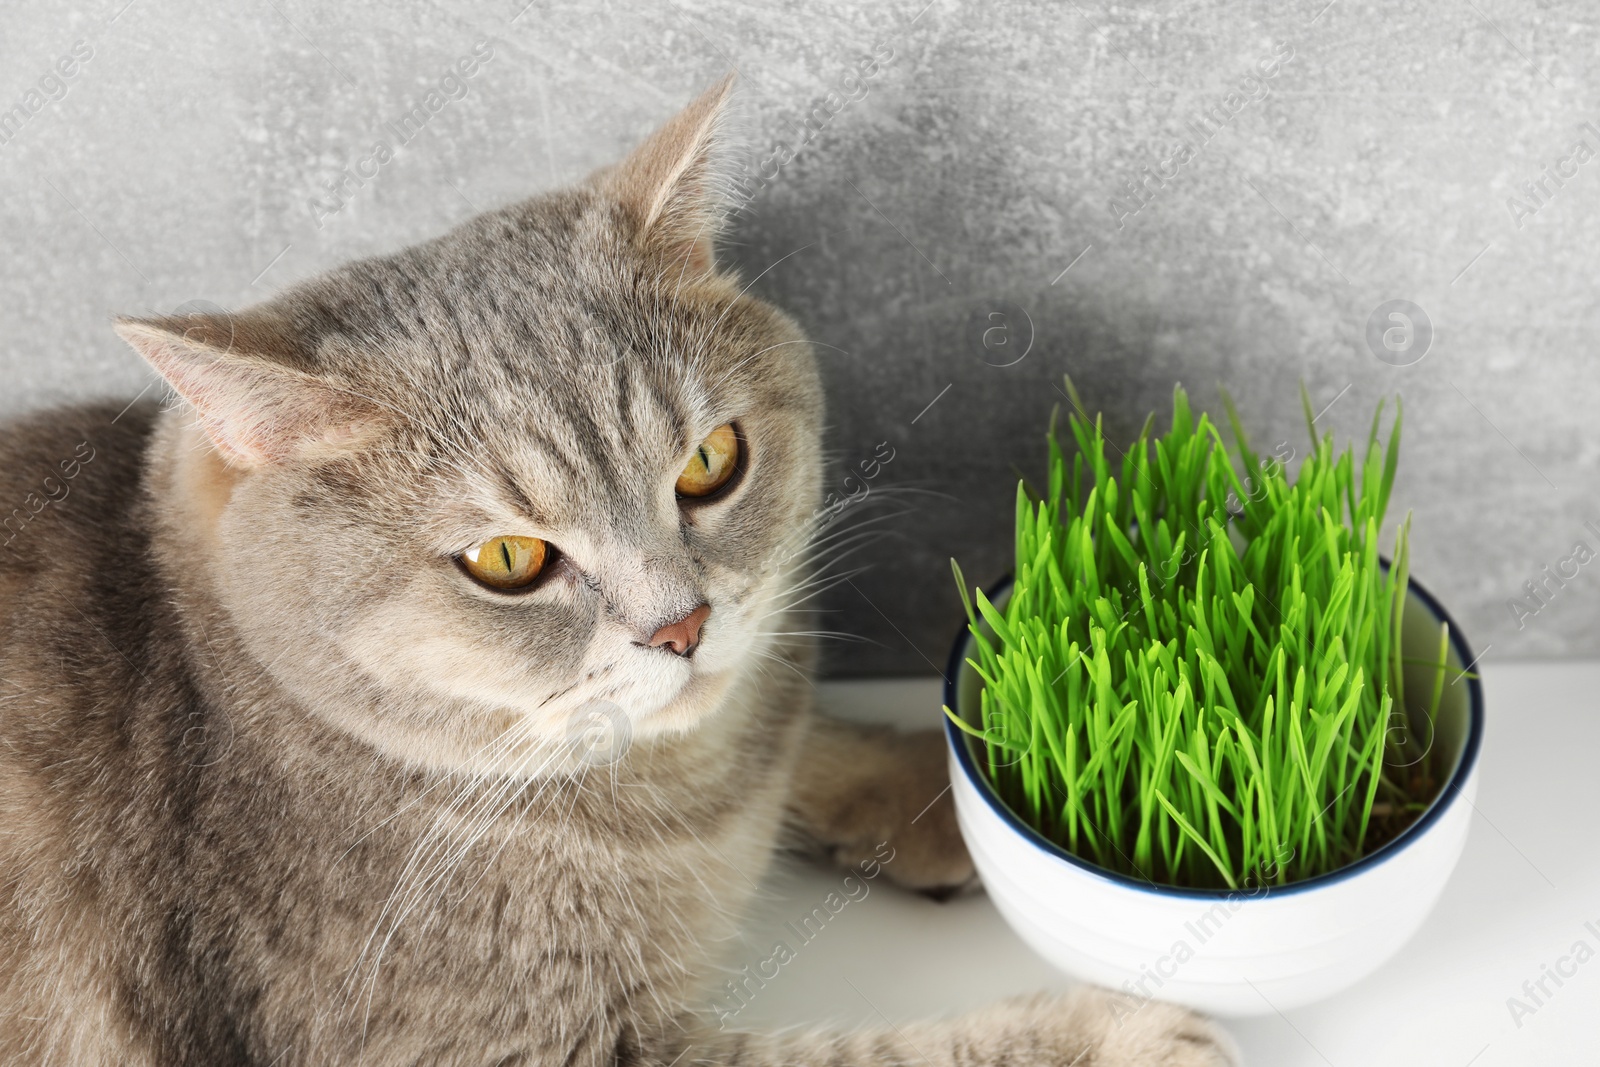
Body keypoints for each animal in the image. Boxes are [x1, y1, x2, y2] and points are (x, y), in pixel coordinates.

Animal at [0, 77, 1235, 1067]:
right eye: (508, 559)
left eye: (709, 462)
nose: (679, 625)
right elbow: (890, 1054)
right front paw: (1116, 1028)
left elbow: (791, 719)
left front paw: (939, 778)